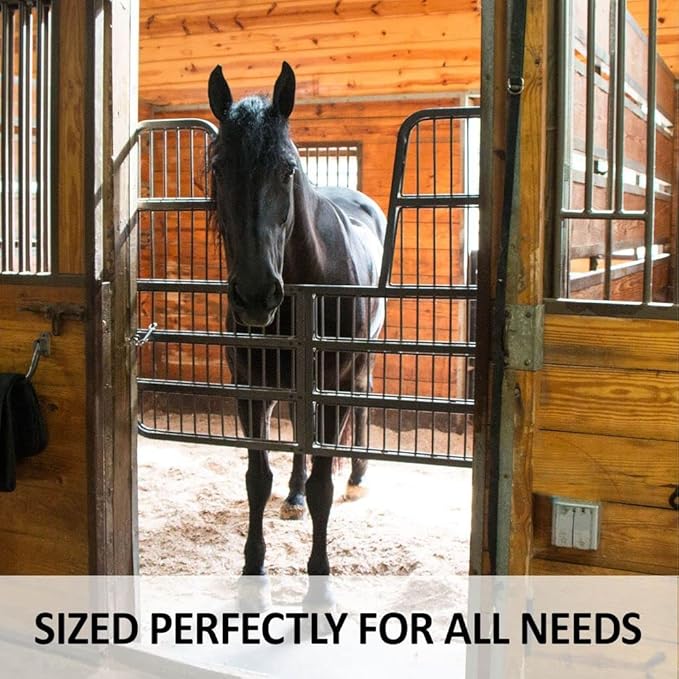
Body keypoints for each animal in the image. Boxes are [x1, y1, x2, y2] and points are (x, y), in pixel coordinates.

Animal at [208, 61, 386, 578]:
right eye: (219, 168)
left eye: (287, 169)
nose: (255, 294)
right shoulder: (252, 385)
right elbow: (256, 477)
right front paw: (253, 564)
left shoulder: (332, 384)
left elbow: (324, 484)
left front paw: (320, 569)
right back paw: (294, 494)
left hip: (356, 369)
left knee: (359, 403)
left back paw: (357, 476)